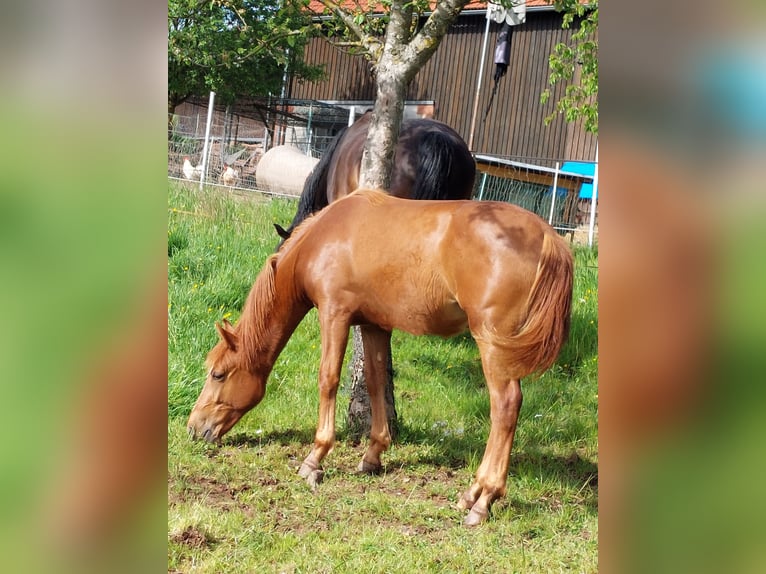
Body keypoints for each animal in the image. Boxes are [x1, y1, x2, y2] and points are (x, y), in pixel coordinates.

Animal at [190, 191, 576, 528]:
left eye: (218, 374)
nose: (194, 428)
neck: (323, 237)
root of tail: (548, 238)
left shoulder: (334, 313)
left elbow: (328, 379)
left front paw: (315, 459)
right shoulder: (374, 325)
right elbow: (375, 383)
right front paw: (373, 455)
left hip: (492, 343)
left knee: (505, 407)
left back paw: (482, 499)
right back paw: (472, 495)